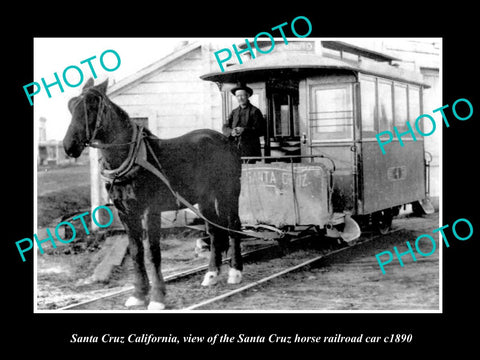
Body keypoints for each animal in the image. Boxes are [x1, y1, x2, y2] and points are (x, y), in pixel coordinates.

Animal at [62, 79, 244, 310]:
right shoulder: (126, 213)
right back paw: (212, 274)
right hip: (205, 198)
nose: (69, 146)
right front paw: (139, 294)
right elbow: (136, 253)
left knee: (233, 226)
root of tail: (226, 140)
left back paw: (235, 272)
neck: (131, 160)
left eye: (92, 106)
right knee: (214, 230)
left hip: (229, 191)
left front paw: (157, 298)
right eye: (71, 105)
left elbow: (152, 253)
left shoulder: (151, 211)